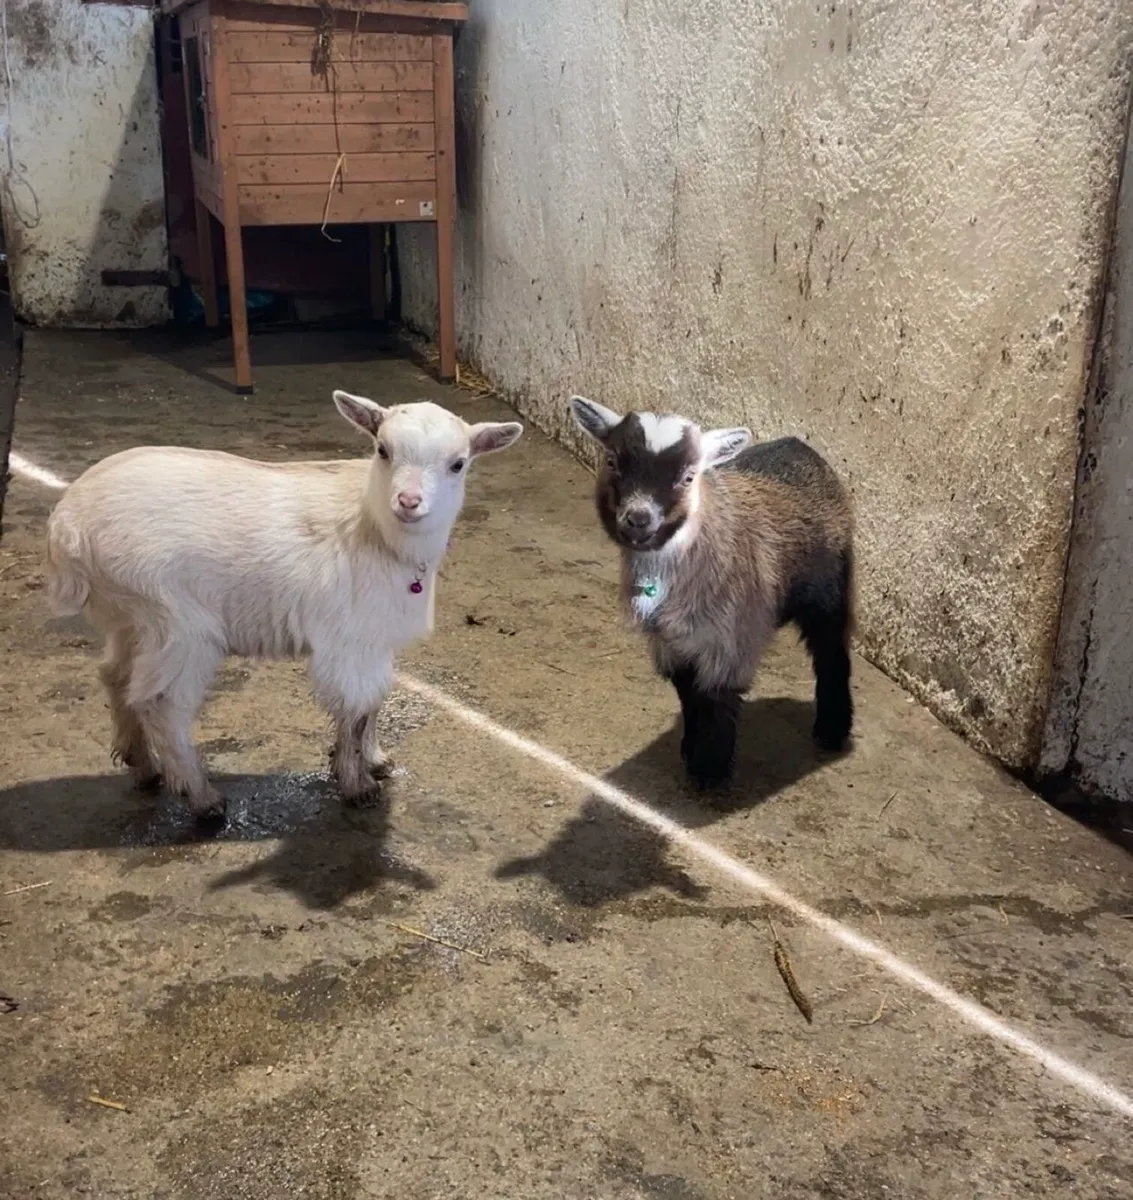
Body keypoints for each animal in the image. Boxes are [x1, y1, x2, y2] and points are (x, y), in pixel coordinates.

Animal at [45, 391, 523, 820]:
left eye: (458, 464)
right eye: (382, 450)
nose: (408, 503)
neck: (372, 527)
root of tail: (67, 525)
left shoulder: (375, 638)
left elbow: (374, 701)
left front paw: (374, 760)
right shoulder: (350, 640)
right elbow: (355, 709)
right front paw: (356, 783)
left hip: (130, 616)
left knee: (115, 676)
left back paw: (142, 765)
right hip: (175, 620)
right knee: (161, 701)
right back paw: (202, 797)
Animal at [569, 396, 854, 789]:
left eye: (689, 476)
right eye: (612, 460)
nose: (638, 519)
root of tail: (801, 446)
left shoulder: (730, 639)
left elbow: (717, 699)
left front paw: (709, 769)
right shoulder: (669, 642)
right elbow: (688, 692)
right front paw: (692, 747)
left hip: (829, 590)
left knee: (831, 652)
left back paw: (832, 729)